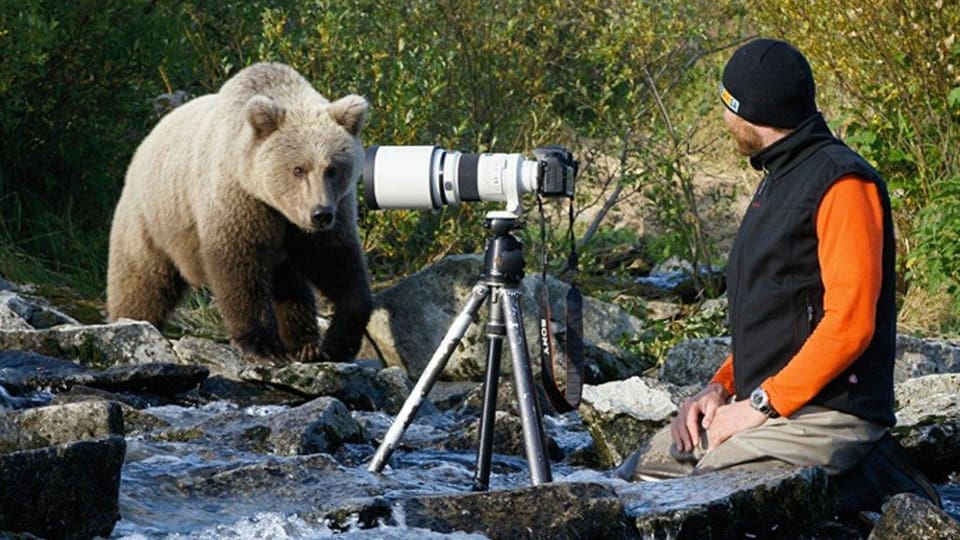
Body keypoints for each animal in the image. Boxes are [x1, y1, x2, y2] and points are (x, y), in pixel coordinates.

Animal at [108, 62, 372, 362]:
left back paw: (304, 344)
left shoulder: (329, 213)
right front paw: (262, 346)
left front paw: (338, 342)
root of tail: (146, 141)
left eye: (333, 169)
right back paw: (129, 321)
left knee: (290, 283)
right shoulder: (239, 200)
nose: (320, 214)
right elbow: (239, 267)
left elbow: (336, 261)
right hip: (152, 217)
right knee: (142, 280)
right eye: (298, 169)